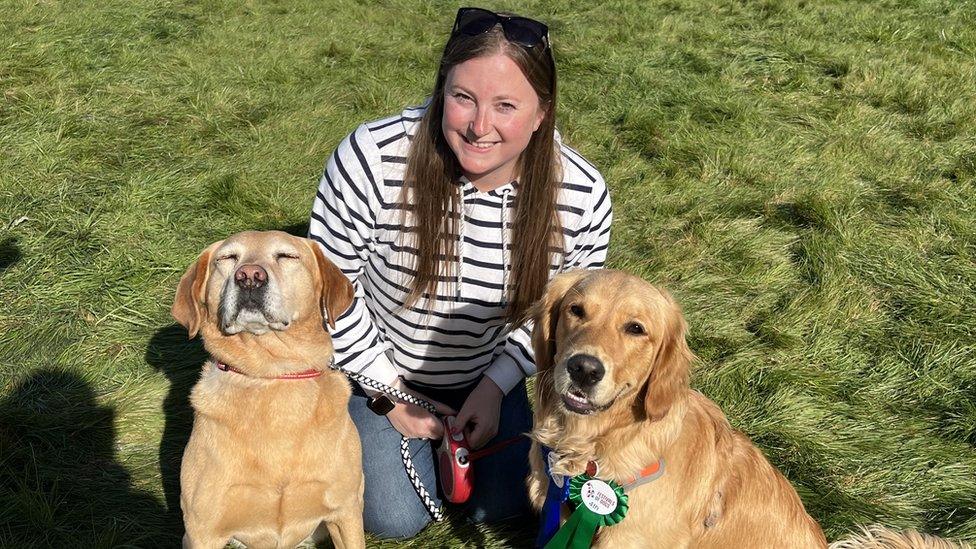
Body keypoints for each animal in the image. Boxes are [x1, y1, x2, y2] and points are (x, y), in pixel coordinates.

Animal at [172, 229, 366, 544]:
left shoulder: (345, 511)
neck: (271, 374)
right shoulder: (204, 530)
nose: (249, 276)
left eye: (287, 256)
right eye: (227, 258)